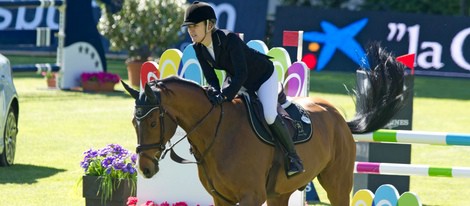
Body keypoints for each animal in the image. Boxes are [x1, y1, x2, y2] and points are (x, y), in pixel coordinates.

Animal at [122, 44, 408, 205]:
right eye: (133, 122)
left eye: (151, 122)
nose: (145, 169)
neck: (218, 132)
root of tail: (337, 115)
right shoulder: (221, 198)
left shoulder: (251, 196)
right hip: (280, 193)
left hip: (337, 183)